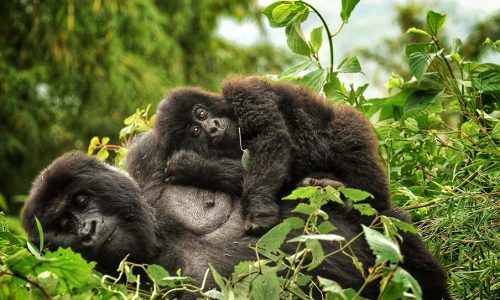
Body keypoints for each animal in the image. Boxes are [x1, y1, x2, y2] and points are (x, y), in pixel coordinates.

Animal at [155, 77, 390, 230]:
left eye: (201, 113)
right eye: (195, 131)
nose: (212, 128)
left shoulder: (244, 92)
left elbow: (271, 136)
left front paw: (258, 212)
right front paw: (193, 168)